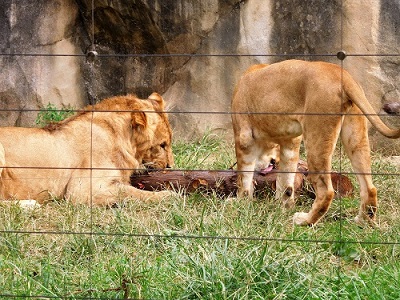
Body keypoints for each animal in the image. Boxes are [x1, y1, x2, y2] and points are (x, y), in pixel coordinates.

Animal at [230, 59, 400, 226]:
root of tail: (344, 76)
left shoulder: (243, 137)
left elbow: (244, 177)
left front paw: (240, 202)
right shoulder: (291, 142)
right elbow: (285, 180)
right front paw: (282, 206)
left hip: (317, 135)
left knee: (326, 191)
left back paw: (304, 221)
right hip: (356, 136)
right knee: (369, 187)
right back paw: (363, 221)